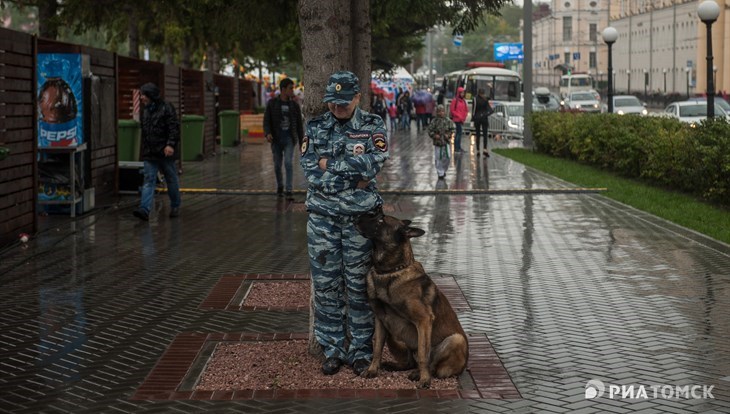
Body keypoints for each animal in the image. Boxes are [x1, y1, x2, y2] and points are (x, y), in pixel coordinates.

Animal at [356, 210, 470, 388]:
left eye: (381, 220)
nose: (356, 217)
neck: (390, 272)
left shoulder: (423, 320)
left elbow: (424, 354)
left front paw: (425, 379)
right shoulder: (380, 320)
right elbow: (377, 349)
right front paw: (372, 370)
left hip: (456, 340)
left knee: (431, 365)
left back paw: (419, 373)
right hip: (393, 333)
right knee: (409, 362)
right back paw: (396, 366)